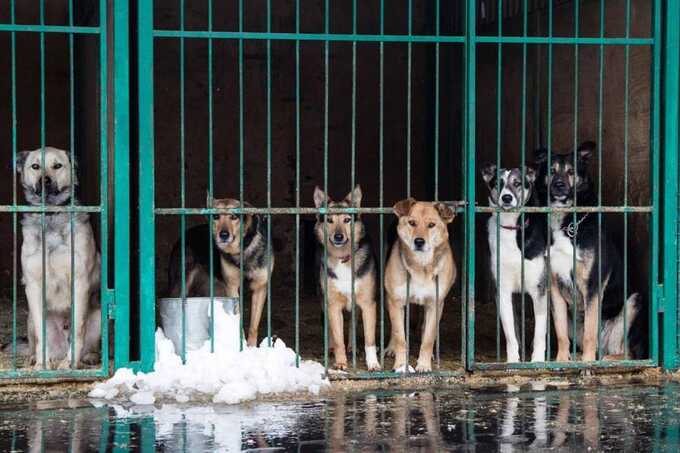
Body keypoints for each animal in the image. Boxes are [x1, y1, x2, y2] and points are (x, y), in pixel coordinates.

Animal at [167, 197, 274, 346]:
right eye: (216, 216)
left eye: (234, 217)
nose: (223, 235)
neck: (241, 251)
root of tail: (186, 234)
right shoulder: (232, 288)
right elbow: (238, 320)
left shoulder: (260, 287)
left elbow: (253, 325)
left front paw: (251, 347)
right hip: (181, 284)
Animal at [314, 185, 382, 370]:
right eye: (329, 220)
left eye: (347, 220)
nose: (338, 237)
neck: (343, 259)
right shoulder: (333, 305)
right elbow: (338, 338)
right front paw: (340, 362)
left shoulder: (368, 304)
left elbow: (369, 339)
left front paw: (373, 363)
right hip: (324, 301)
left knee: (353, 323)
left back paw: (353, 347)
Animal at [382, 198, 456, 370]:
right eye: (412, 223)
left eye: (431, 225)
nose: (419, 242)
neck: (421, 265)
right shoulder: (395, 301)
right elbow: (400, 336)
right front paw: (401, 365)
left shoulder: (435, 304)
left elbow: (428, 338)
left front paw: (423, 365)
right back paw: (390, 348)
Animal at [480, 164, 548, 362]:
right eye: (498, 183)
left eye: (517, 183)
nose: (507, 198)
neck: (511, 228)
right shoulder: (502, 291)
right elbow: (511, 332)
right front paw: (512, 360)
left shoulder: (539, 289)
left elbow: (539, 333)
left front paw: (537, 361)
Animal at [536, 141, 648, 360]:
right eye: (551, 171)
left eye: (571, 171)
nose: (559, 185)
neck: (568, 224)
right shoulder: (555, 287)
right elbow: (560, 331)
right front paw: (561, 359)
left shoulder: (593, 287)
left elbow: (589, 331)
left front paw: (587, 363)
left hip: (633, 304)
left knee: (627, 352)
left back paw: (603, 358)